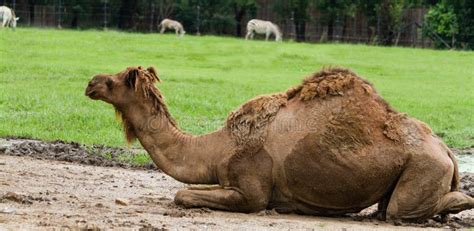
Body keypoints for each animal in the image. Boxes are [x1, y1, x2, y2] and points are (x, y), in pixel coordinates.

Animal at [86, 66, 474, 221]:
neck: (218, 146)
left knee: (401, 210)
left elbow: (183, 194)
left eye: (115, 80)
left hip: (424, 167)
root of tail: (447, 150)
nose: (90, 82)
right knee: (388, 207)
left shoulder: (251, 189)